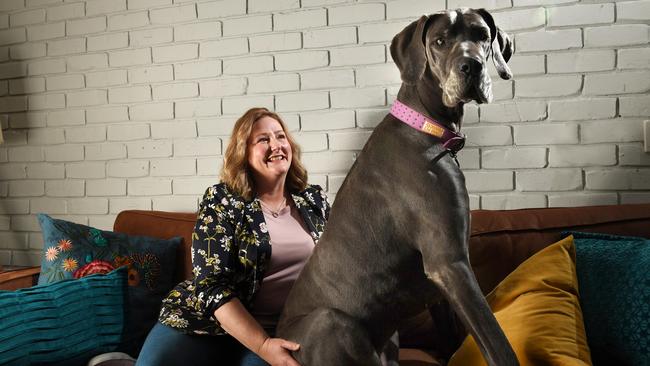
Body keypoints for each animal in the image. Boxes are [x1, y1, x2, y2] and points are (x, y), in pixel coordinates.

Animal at [276, 8, 520, 366]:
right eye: (439, 41)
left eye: (483, 35)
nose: (472, 66)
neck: (425, 126)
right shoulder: (450, 263)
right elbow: (498, 345)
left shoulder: (439, 286)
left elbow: (451, 340)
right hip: (331, 322)